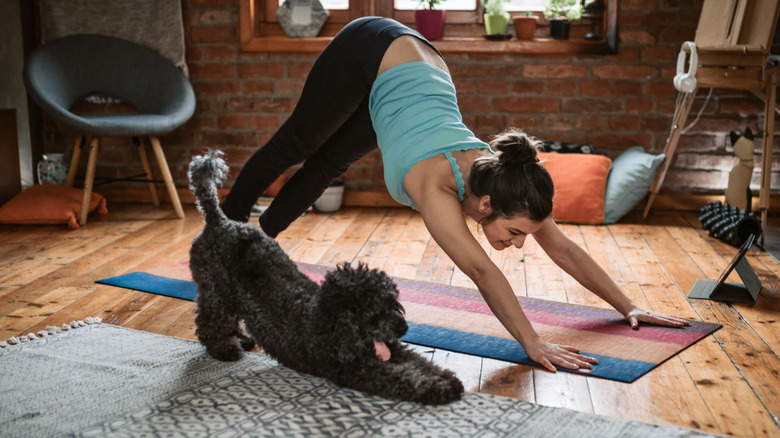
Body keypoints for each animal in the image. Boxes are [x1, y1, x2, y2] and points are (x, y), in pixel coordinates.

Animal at [187, 151, 464, 408]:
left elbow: (420, 362)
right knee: (209, 323)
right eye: (374, 312)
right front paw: (438, 388)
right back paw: (224, 348)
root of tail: (218, 220)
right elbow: (403, 378)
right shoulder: (359, 369)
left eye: (394, 303)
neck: (330, 322)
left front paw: (446, 377)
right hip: (216, 291)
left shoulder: (393, 349)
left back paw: (242, 338)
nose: (403, 328)